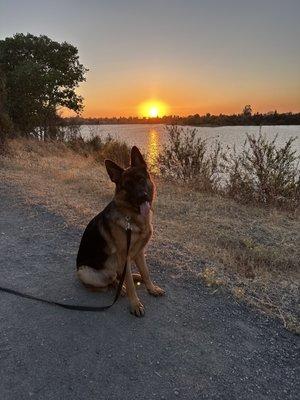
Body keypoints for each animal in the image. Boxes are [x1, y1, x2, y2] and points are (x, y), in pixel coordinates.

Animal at [75, 145, 164, 318]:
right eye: (127, 185)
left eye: (141, 179)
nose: (142, 197)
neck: (132, 218)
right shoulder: (124, 254)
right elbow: (129, 283)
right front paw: (135, 304)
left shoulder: (139, 252)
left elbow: (146, 272)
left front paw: (151, 288)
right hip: (85, 272)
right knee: (109, 281)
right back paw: (119, 288)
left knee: (119, 275)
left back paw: (133, 278)